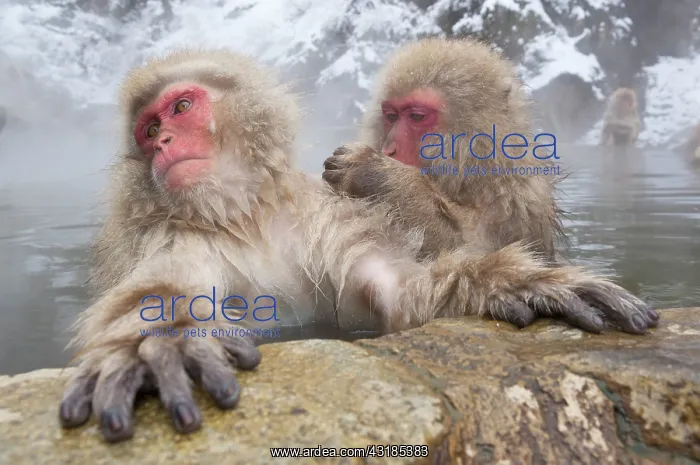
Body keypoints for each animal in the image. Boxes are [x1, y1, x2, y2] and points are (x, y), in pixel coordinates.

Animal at [58, 48, 658, 444]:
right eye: (147, 128)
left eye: (181, 108)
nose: (160, 142)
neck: (245, 216)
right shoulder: (171, 237)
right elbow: (155, 290)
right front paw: (156, 344)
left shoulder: (324, 218)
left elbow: (394, 291)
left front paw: (520, 282)